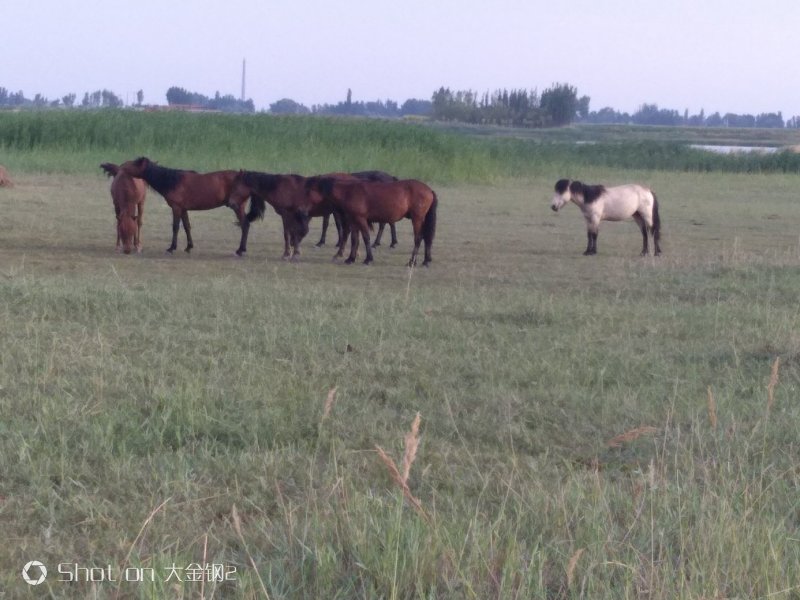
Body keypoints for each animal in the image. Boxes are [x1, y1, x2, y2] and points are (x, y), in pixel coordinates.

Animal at [305, 177, 438, 266]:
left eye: (309, 190)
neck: (348, 192)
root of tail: (429, 190)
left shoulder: (361, 219)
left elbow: (366, 238)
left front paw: (368, 259)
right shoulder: (354, 221)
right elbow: (355, 239)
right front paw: (350, 259)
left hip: (417, 219)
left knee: (418, 238)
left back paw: (412, 262)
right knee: (426, 238)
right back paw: (426, 260)